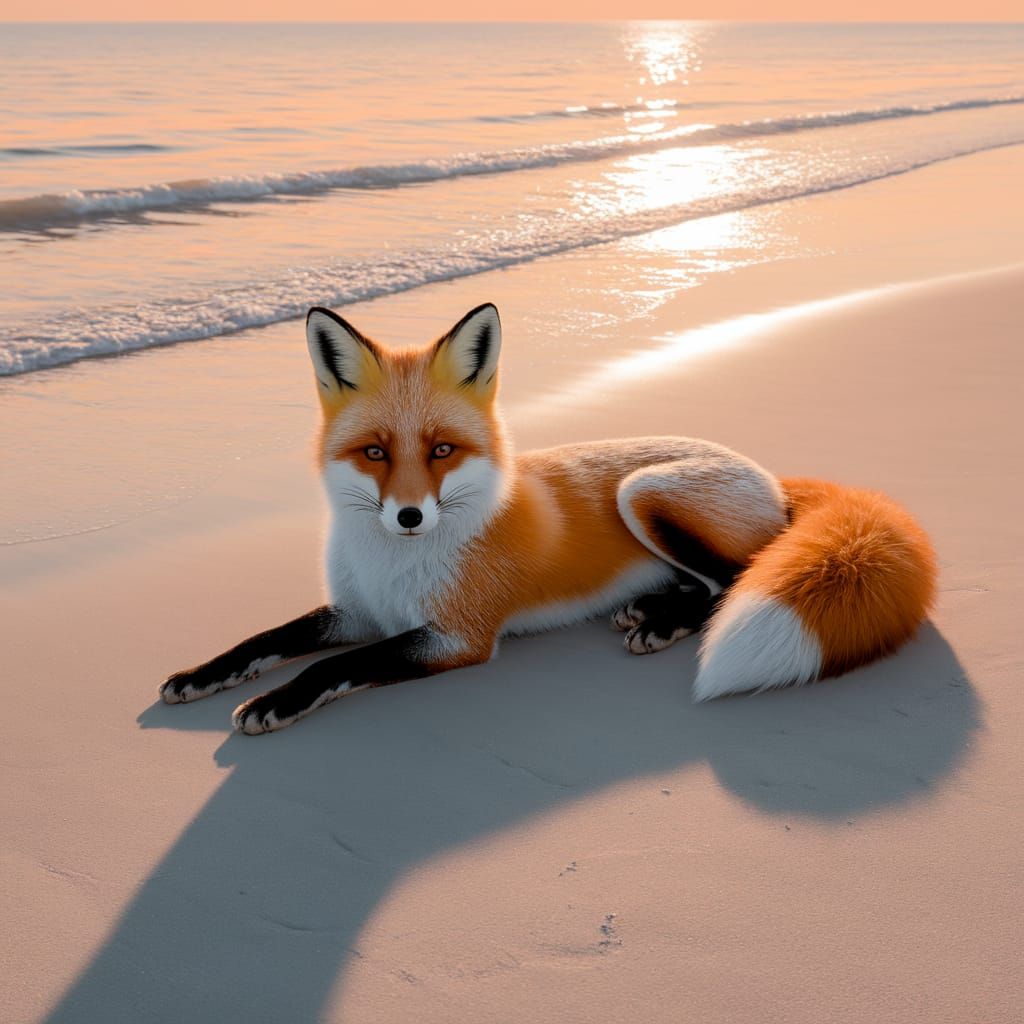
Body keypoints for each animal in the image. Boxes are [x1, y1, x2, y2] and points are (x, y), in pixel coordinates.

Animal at [160, 302, 937, 734]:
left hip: (644, 492)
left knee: (734, 580)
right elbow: (269, 636)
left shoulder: (457, 637)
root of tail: (773, 475)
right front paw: (202, 675)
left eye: (441, 450)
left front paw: (277, 702)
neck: (394, 563)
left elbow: (341, 664)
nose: (409, 515)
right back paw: (649, 606)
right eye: (375, 452)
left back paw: (662, 621)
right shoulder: (360, 610)